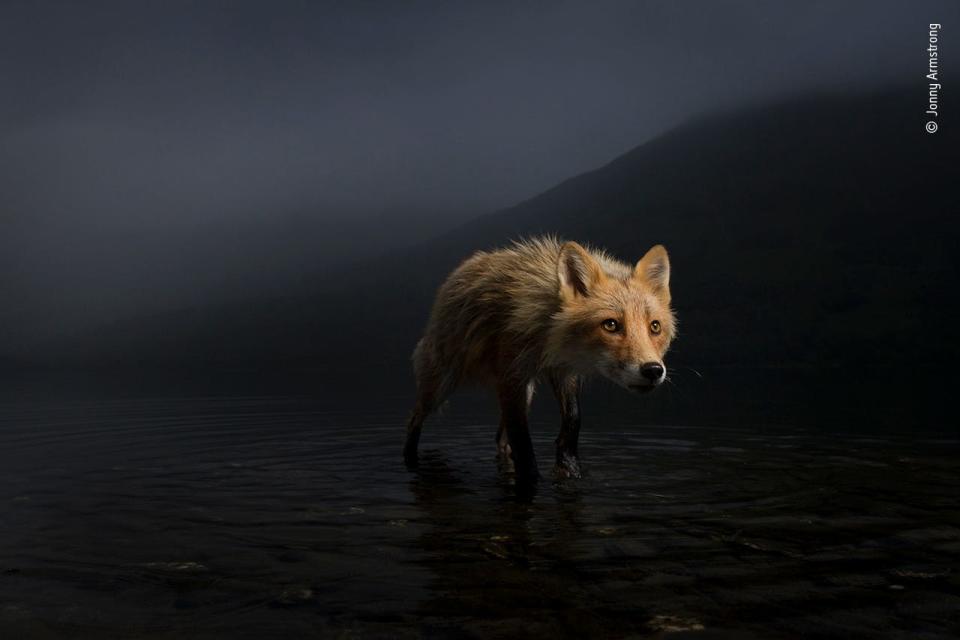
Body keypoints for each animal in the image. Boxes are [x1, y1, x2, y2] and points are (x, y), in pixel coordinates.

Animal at [402, 235, 672, 480]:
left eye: (655, 327)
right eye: (611, 325)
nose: (653, 370)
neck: (548, 336)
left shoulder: (562, 371)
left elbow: (573, 419)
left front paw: (568, 466)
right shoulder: (511, 375)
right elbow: (523, 441)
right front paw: (533, 478)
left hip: (527, 392)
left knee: (500, 438)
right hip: (440, 386)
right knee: (414, 420)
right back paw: (409, 461)